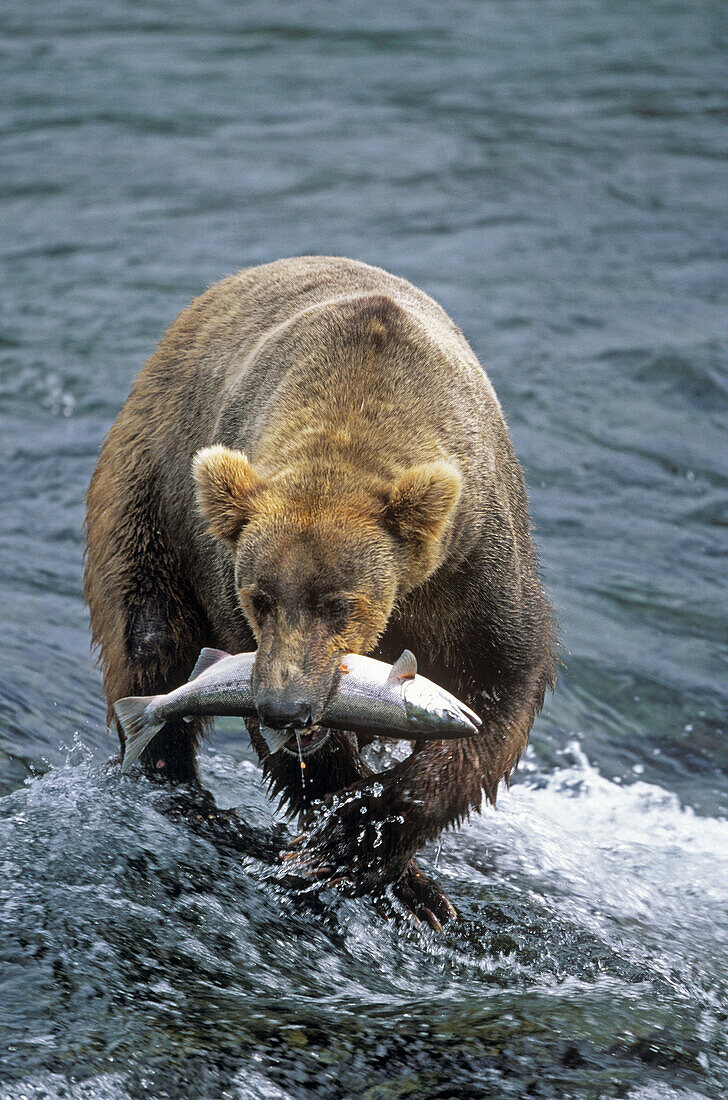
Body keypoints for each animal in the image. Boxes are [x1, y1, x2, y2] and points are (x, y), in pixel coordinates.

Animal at [82, 257, 556, 928]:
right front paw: (356, 852)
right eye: (259, 598)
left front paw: (363, 842)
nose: (286, 706)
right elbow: (296, 751)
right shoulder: (225, 573)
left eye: (340, 604)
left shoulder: (471, 565)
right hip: (147, 496)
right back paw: (185, 793)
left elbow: (500, 688)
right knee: (151, 641)